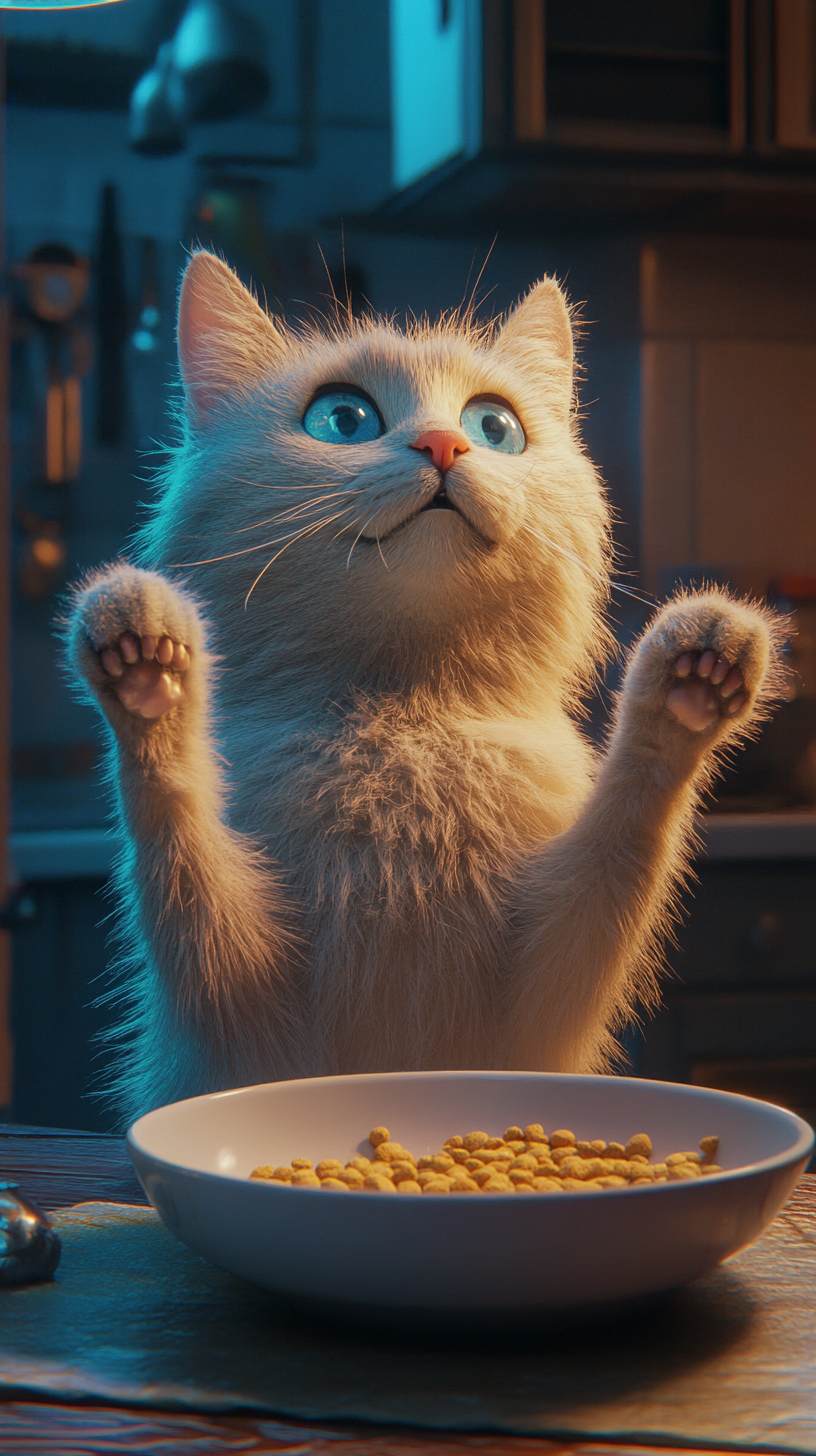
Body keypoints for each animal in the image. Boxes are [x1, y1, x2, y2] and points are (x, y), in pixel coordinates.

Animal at [63, 250, 775, 1118]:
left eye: (494, 428)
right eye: (343, 419)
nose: (443, 445)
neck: (403, 719)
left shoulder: (546, 992)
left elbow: (629, 838)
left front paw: (692, 681)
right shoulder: (233, 1001)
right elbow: (179, 843)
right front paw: (146, 669)